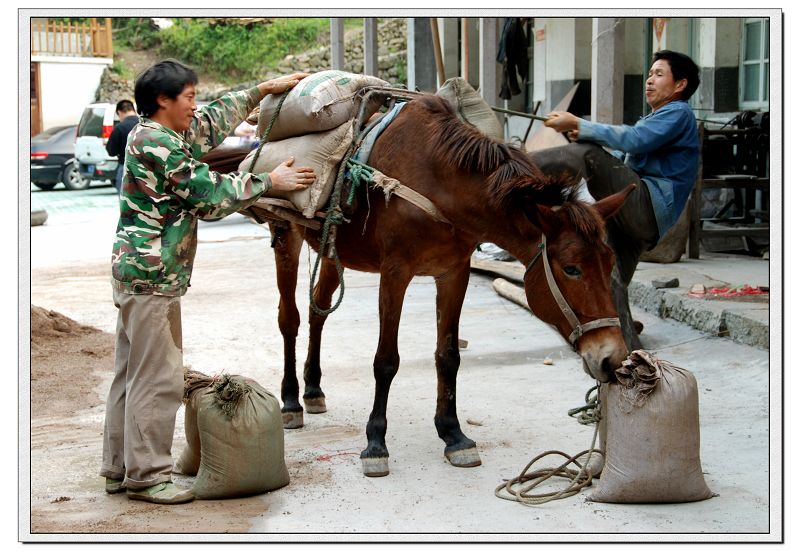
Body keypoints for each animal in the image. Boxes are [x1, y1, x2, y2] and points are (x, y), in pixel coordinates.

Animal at [230, 95, 632, 476]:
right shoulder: (395, 272)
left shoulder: (454, 273)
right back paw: (291, 401)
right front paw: (375, 443)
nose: (612, 358)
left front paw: (453, 434)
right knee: (290, 319)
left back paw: (313, 388)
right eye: (571, 269)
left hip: (331, 248)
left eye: (610, 263)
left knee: (319, 311)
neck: (441, 184)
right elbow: (386, 361)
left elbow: (448, 356)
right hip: (287, 234)